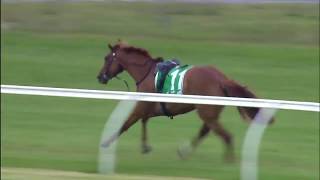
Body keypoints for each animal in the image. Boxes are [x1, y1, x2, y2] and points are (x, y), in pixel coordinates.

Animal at [97, 41, 264, 160]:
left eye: (106, 58)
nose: (100, 77)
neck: (146, 73)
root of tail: (221, 79)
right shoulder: (151, 109)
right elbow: (144, 121)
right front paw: (145, 147)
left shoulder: (140, 108)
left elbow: (125, 124)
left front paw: (105, 142)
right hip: (210, 113)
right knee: (206, 131)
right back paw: (185, 152)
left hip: (206, 112)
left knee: (225, 135)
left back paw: (227, 160)